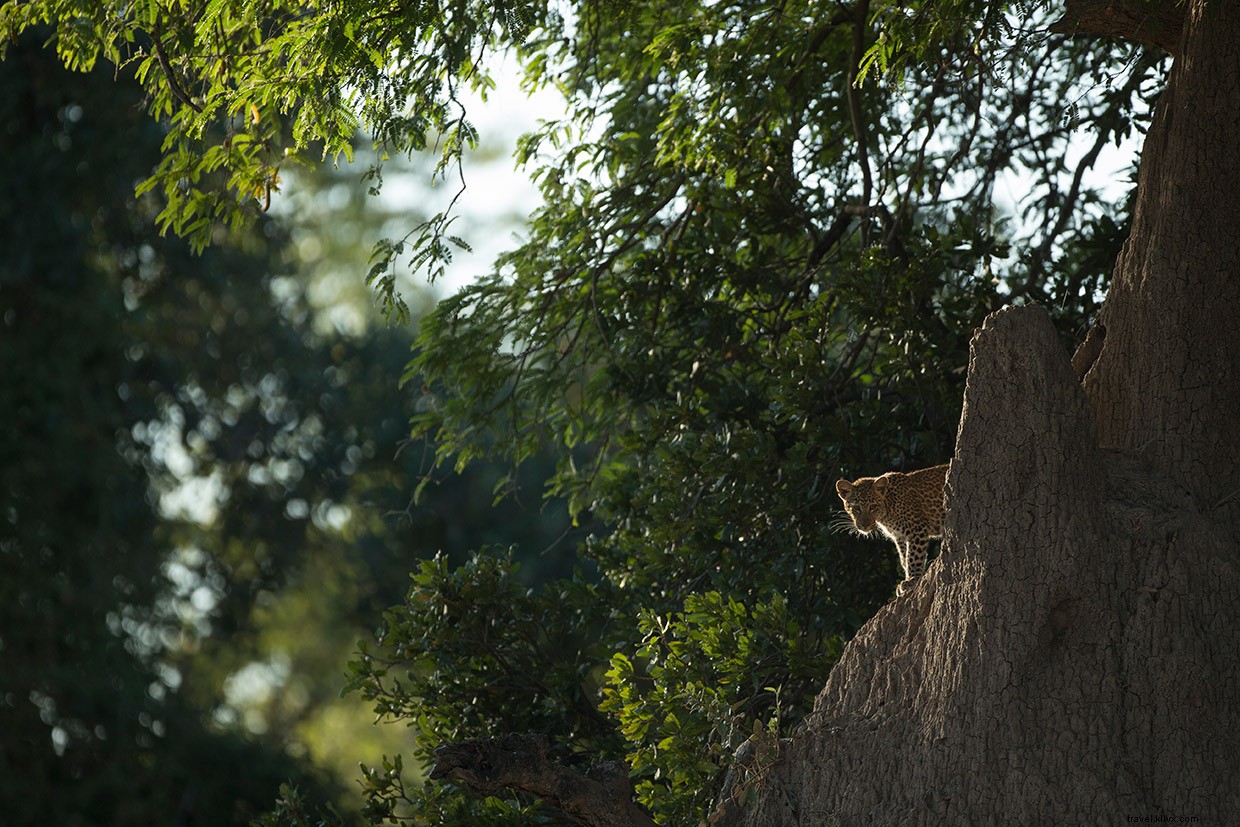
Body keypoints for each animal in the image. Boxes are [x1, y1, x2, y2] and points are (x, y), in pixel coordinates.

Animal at [834, 463, 949, 596]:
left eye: (873, 506)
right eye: (857, 508)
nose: (865, 525)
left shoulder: (917, 528)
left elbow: (913, 556)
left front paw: (912, 579)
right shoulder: (899, 536)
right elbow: (904, 558)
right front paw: (907, 577)